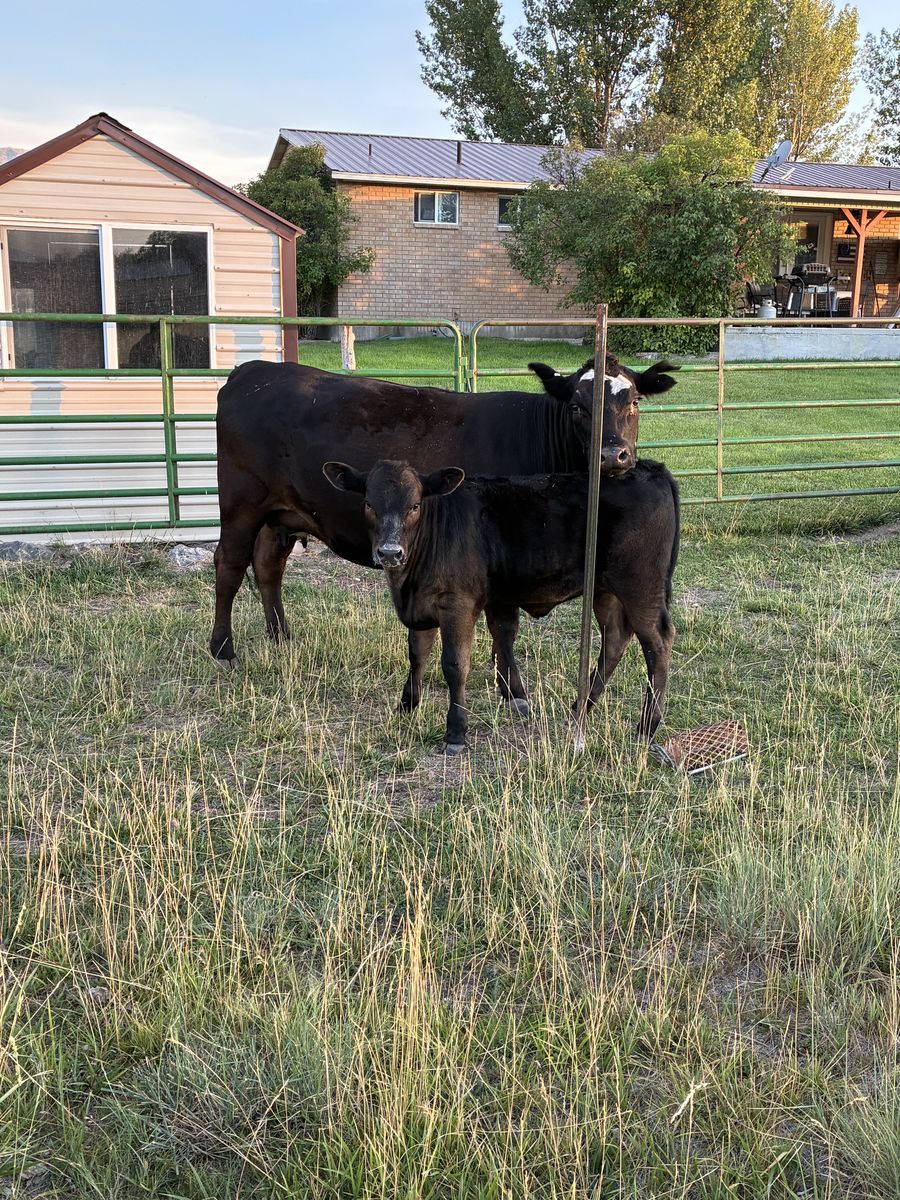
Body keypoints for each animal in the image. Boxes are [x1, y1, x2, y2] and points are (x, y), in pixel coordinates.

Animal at [210, 356, 678, 710]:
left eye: (635, 400)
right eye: (578, 406)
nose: (613, 455)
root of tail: (253, 371)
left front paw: (508, 688)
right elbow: (503, 626)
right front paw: (514, 692)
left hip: (280, 514)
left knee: (268, 566)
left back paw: (281, 637)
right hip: (241, 503)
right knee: (229, 566)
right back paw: (223, 649)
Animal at [323, 457, 680, 754]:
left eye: (414, 505)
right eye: (369, 504)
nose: (389, 552)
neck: (408, 583)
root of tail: (650, 468)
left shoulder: (458, 605)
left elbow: (455, 665)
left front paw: (456, 733)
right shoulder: (421, 610)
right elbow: (417, 656)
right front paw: (406, 707)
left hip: (640, 585)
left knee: (657, 642)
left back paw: (646, 726)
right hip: (605, 590)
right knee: (616, 638)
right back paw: (581, 707)